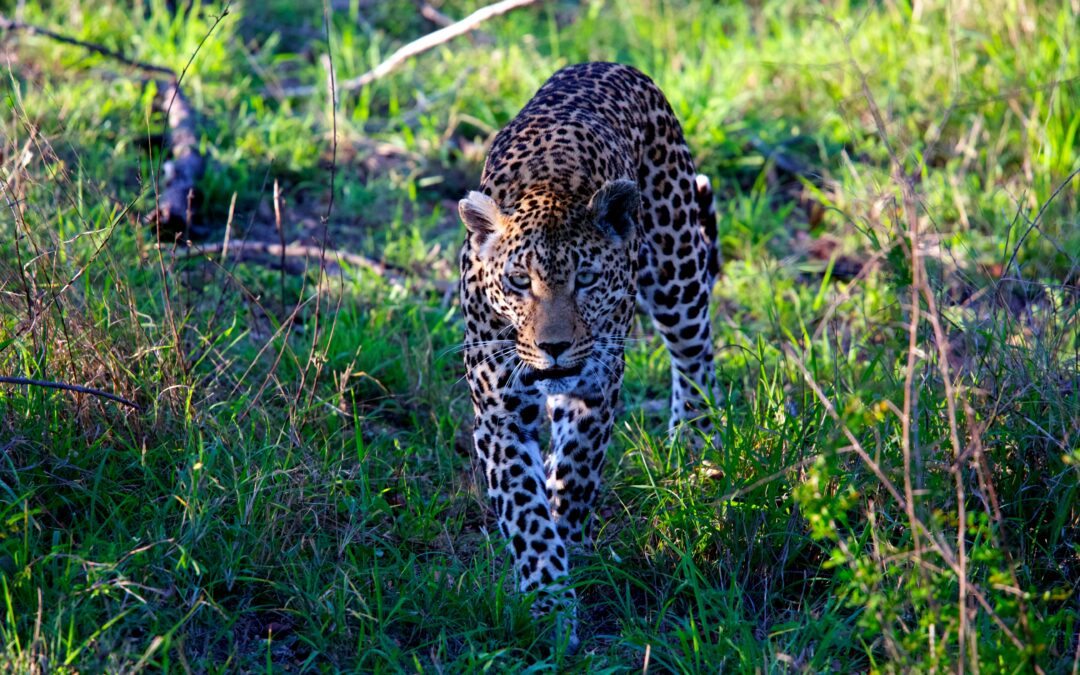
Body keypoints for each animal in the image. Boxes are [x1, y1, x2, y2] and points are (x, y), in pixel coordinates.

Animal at [455, 61, 717, 643]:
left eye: (588, 279)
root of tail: (605, 64)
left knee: (696, 357)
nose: (554, 347)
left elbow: (577, 472)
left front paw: (572, 547)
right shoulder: (499, 413)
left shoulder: (596, 385)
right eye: (518, 282)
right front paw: (550, 600)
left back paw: (695, 450)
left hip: (678, 272)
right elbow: (526, 508)